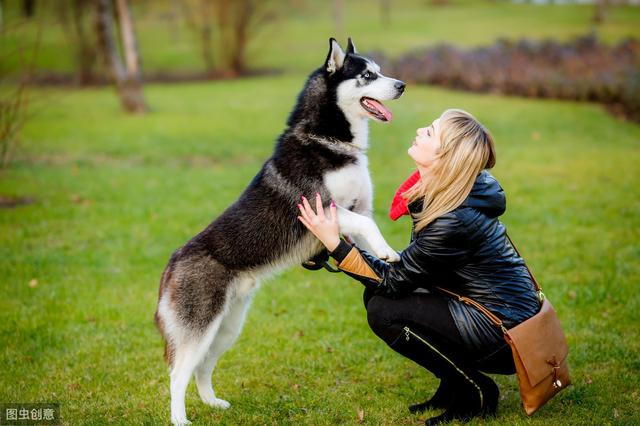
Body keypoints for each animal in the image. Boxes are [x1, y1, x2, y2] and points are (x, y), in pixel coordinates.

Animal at [156, 38, 404, 424]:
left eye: (380, 71)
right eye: (367, 75)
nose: (402, 85)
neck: (326, 139)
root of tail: (173, 260)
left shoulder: (357, 208)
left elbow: (368, 229)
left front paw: (385, 254)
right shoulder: (322, 210)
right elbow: (367, 224)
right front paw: (388, 252)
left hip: (226, 329)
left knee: (203, 367)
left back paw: (212, 402)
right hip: (199, 327)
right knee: (178, 374)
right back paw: (180, 418)